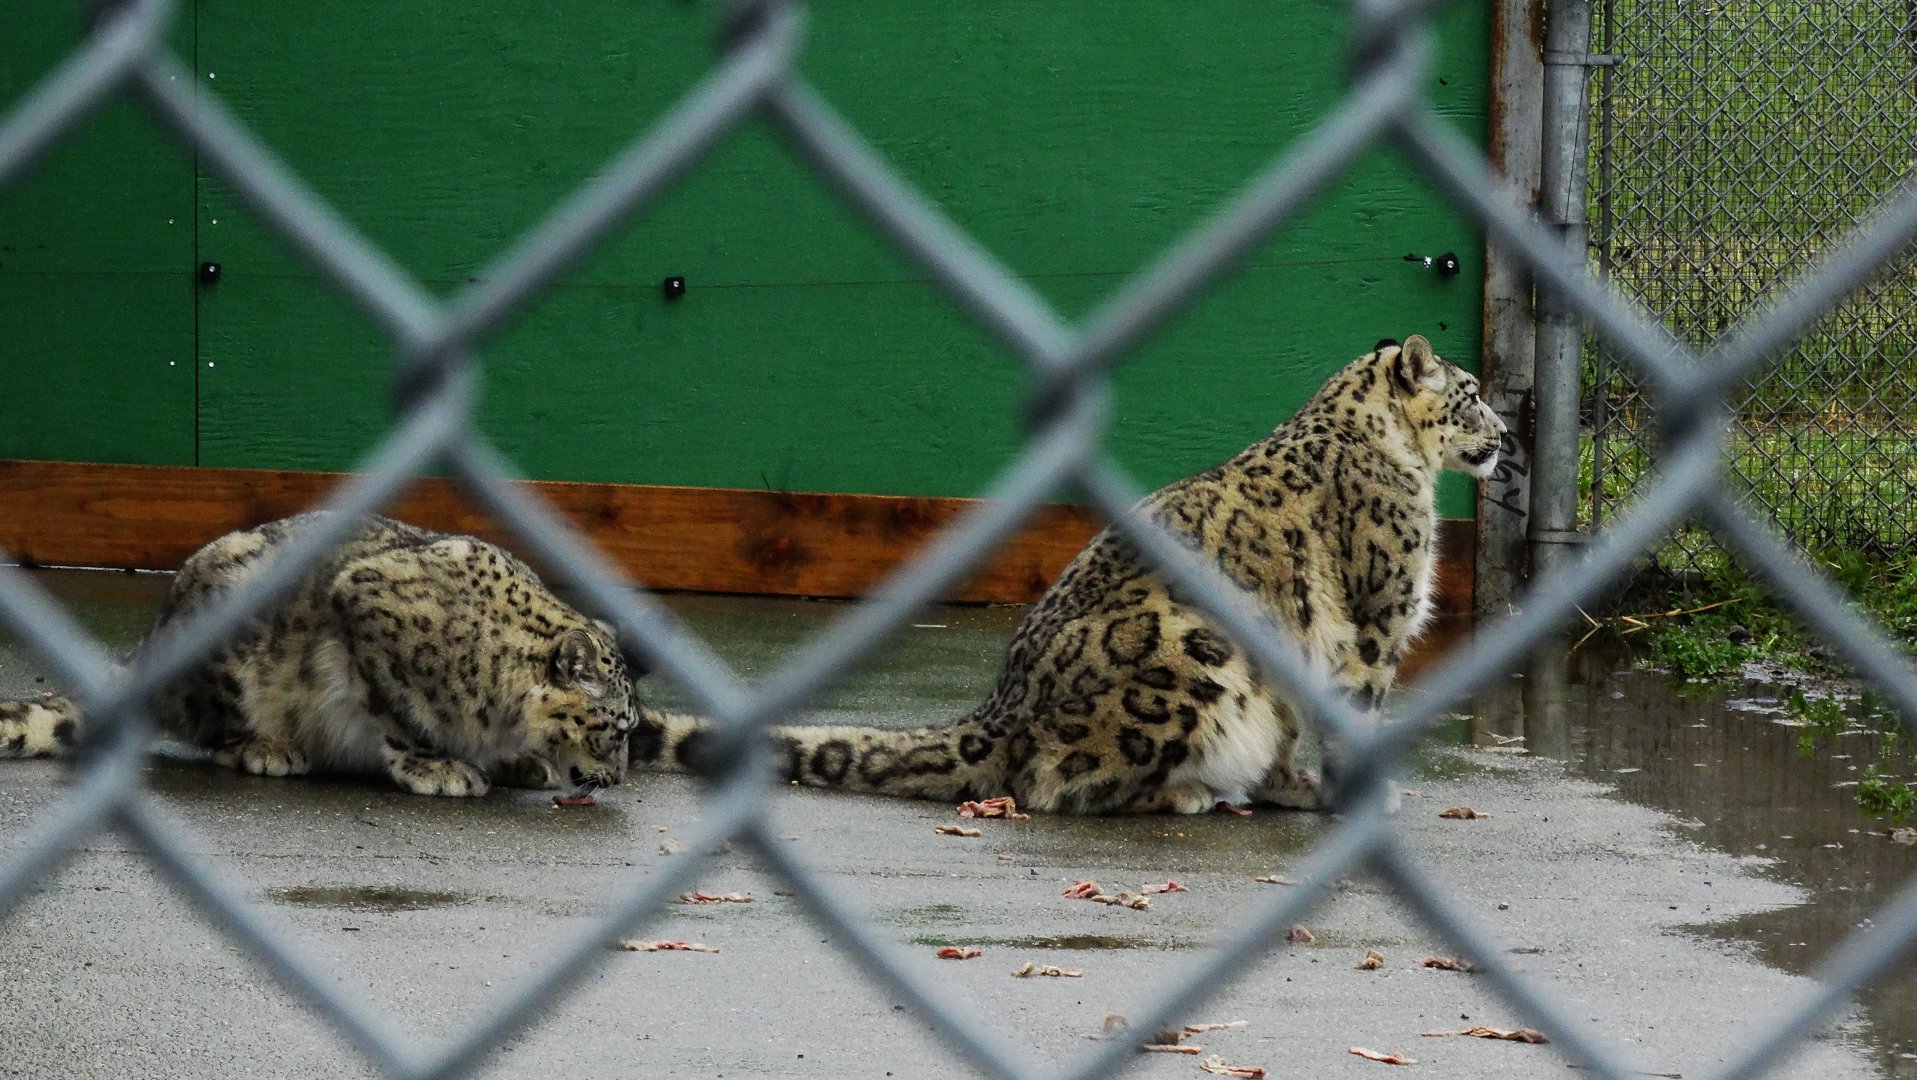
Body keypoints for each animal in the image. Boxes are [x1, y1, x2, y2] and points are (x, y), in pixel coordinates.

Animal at [0, 512, 642, 797]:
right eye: (615, 730)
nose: (616, 777)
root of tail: (148, 645)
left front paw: (516, 760)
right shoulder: (370, 611)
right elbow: (394, 713)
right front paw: (437, 767)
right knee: (216, 731)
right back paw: (268, 748)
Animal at [630, 334, 1503, 814]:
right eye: (1468, 395)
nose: (1503, 432)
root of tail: (1001, 705)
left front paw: (1300, 785)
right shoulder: (1374, 622)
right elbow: (1356, 714)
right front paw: (1357, 796)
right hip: (1195, 655)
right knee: (1054, 781)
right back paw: (1190, 791)